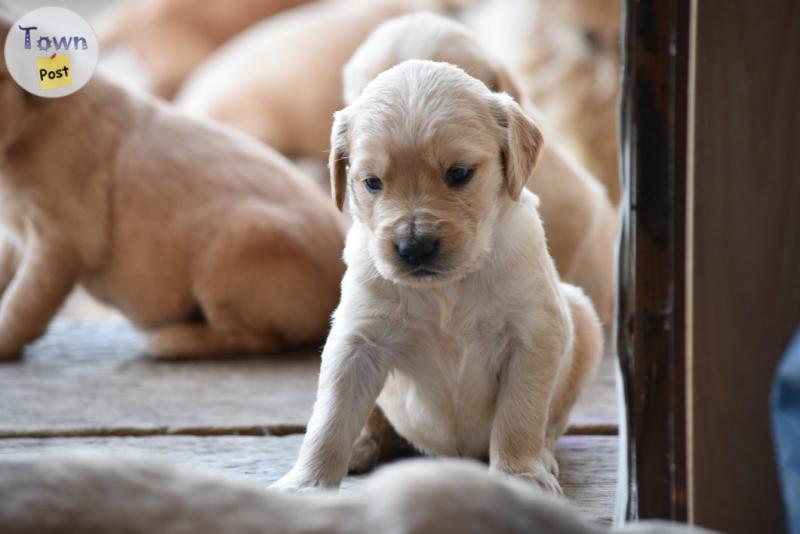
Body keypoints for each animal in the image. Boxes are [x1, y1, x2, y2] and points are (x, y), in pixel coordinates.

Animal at [0, 25, 342, 360]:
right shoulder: (17, 233)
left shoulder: (62, 239)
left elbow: (25, 300)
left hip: (236, 246)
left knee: (256, 340)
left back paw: (171, 340)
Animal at [276, 60, 600, 496]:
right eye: (372, 182)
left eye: (459, 173)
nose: (414, 247)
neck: (446, 289)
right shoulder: (356, 339)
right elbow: (329, 419)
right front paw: (306, 484)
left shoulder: (532, 333)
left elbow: (520, 414)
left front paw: (519, 475)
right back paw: (362, 444)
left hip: (583, 317)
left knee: (550, 422)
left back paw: (544, 456)